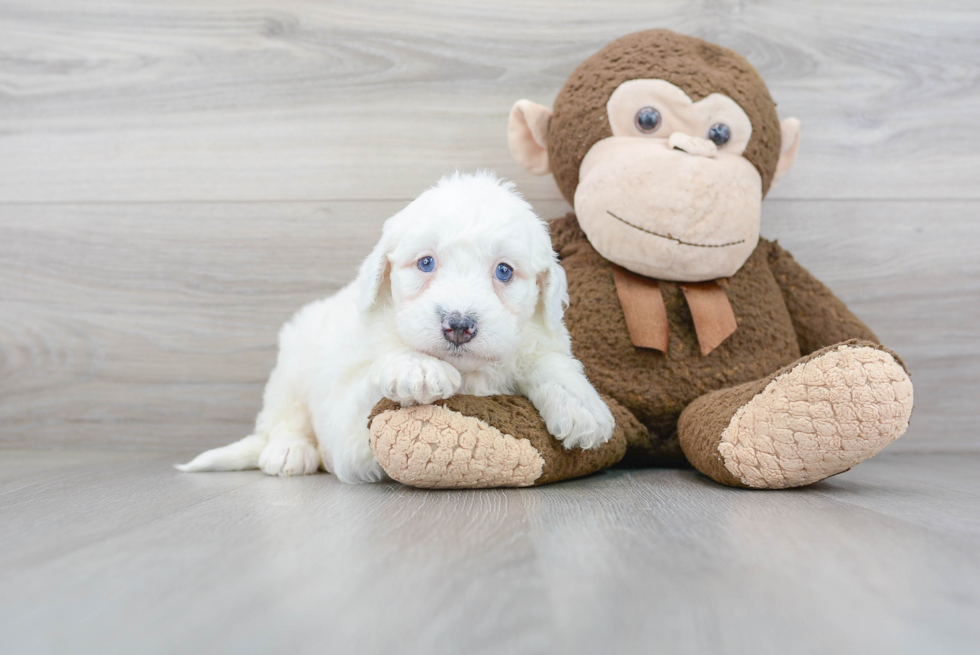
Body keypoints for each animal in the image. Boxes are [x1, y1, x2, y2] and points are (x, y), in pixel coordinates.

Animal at [178, 172, 612, 484]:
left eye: (504, 271)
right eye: (426, 263)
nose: (459, 326)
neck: (472, 373)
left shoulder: (537, 338)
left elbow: (549, 360)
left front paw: (581, 405)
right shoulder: (347, 427)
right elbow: (372, 380)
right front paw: (416, 366)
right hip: (292, 364)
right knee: (283, 417)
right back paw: (289, 451)